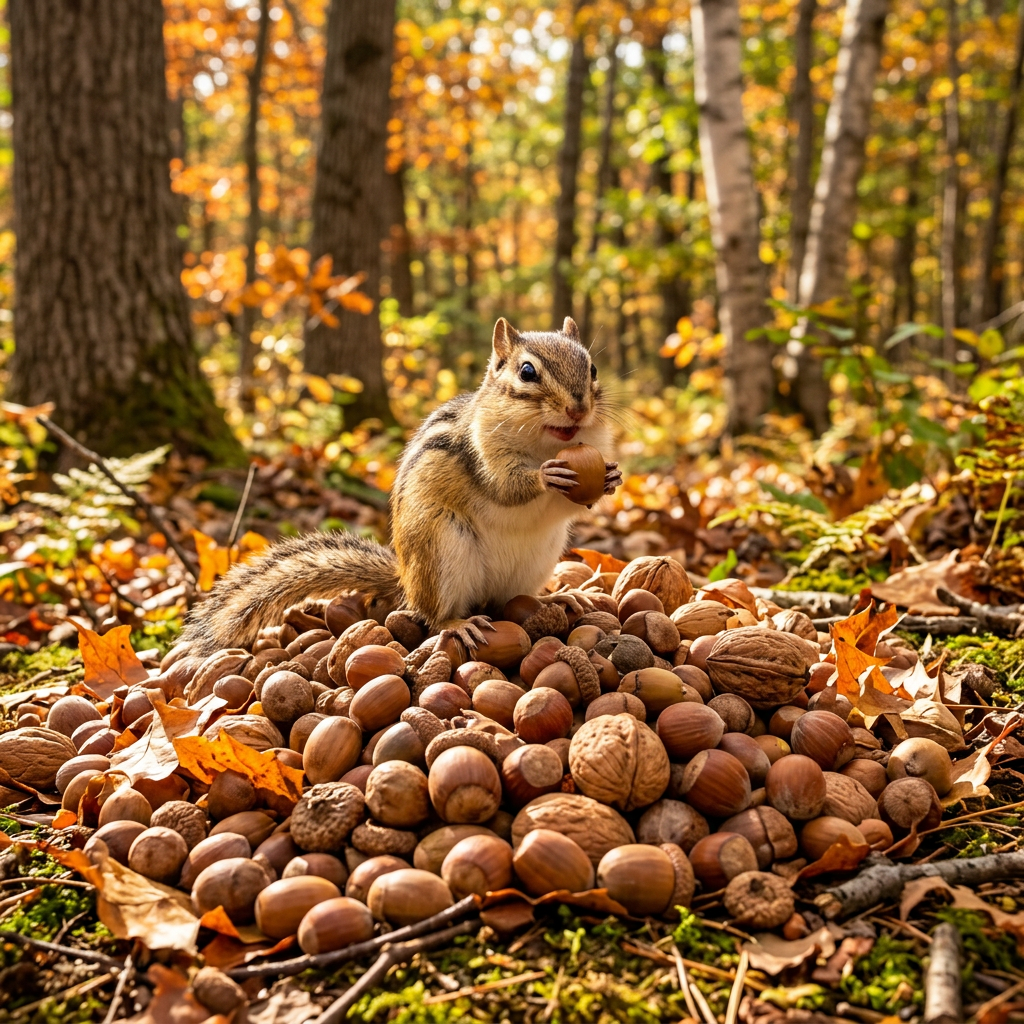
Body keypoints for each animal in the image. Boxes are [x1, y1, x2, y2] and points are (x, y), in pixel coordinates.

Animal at [179, 316, 621, 656]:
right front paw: (545, 476)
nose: (578, 408)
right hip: (441, 548)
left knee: (512, 599)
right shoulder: (481, 452)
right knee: (434, 615)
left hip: (538, 558)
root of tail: (405, 580)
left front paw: (611, 478)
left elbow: (575, 504)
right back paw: (457, 623)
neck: (547, 442)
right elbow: (505, 486)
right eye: (527, 372)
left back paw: (555, 596)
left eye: (593, 369)